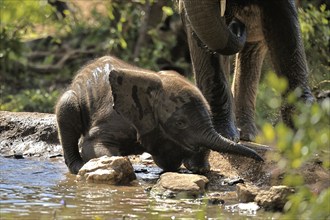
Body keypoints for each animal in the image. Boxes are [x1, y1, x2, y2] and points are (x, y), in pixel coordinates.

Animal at [56, 55, 262, 174]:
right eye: (180, 123)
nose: (260, 160)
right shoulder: (113, 117)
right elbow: (91, 146)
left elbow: (168, 158)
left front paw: (196, 168)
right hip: (73, 99)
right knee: (66, 107)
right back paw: (78, 168)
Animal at [179, 0, 314, 141]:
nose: (237, 25)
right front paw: (224, 135)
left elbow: (284, 23)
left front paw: (301, 133)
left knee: (253, 48)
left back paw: (247, 135)